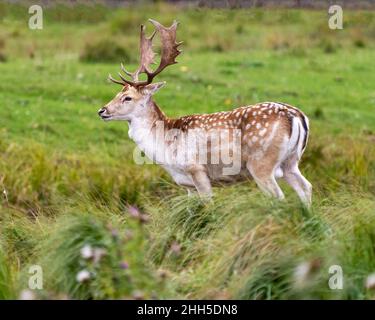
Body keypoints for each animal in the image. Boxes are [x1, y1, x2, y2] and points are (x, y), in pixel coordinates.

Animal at [98, 18, 312, 206]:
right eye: (117, 93)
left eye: (127, 98)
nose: (102, 110)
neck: (166, 148)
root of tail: (297, 116)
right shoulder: (187, 185)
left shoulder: (197, 170)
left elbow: (207, 206)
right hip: (291, 162)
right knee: (306, 188)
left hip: (261, 163)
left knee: (279, 196)